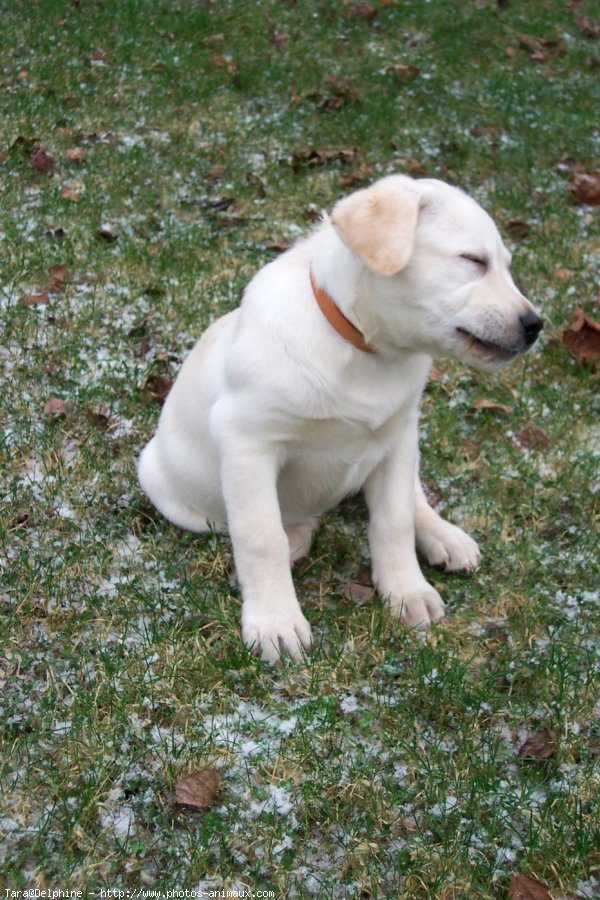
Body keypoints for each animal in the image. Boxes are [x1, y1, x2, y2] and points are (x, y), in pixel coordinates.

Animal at [139, 176, 544, 664]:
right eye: (473, 260)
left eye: (505, 266)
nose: (535, 325)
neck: (364, 350)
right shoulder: (247, 441)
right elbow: (260, 536)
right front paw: (276, 622)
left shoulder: (398, 436)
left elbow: (394, 519)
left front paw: (406, 591)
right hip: (164, 483)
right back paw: (297, 536)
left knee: (413, 498)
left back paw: (444, 536)